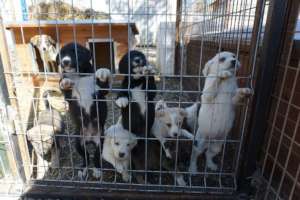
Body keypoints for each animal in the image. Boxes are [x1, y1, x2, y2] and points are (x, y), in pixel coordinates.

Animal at [56, 42, 111, 178]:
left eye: (76, 52)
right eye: (62, 54)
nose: (65, 61)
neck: (79, 75)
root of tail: (90, 139)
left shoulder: (100, 92)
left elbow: (103, 86)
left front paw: (102, 71)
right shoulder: (69, 97)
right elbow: (63, 86)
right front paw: (65, 82)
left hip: (100, 142)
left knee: (96, 157)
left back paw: (97, 170)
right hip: (78, 142)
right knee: (85, 156)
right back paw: (84, 169)